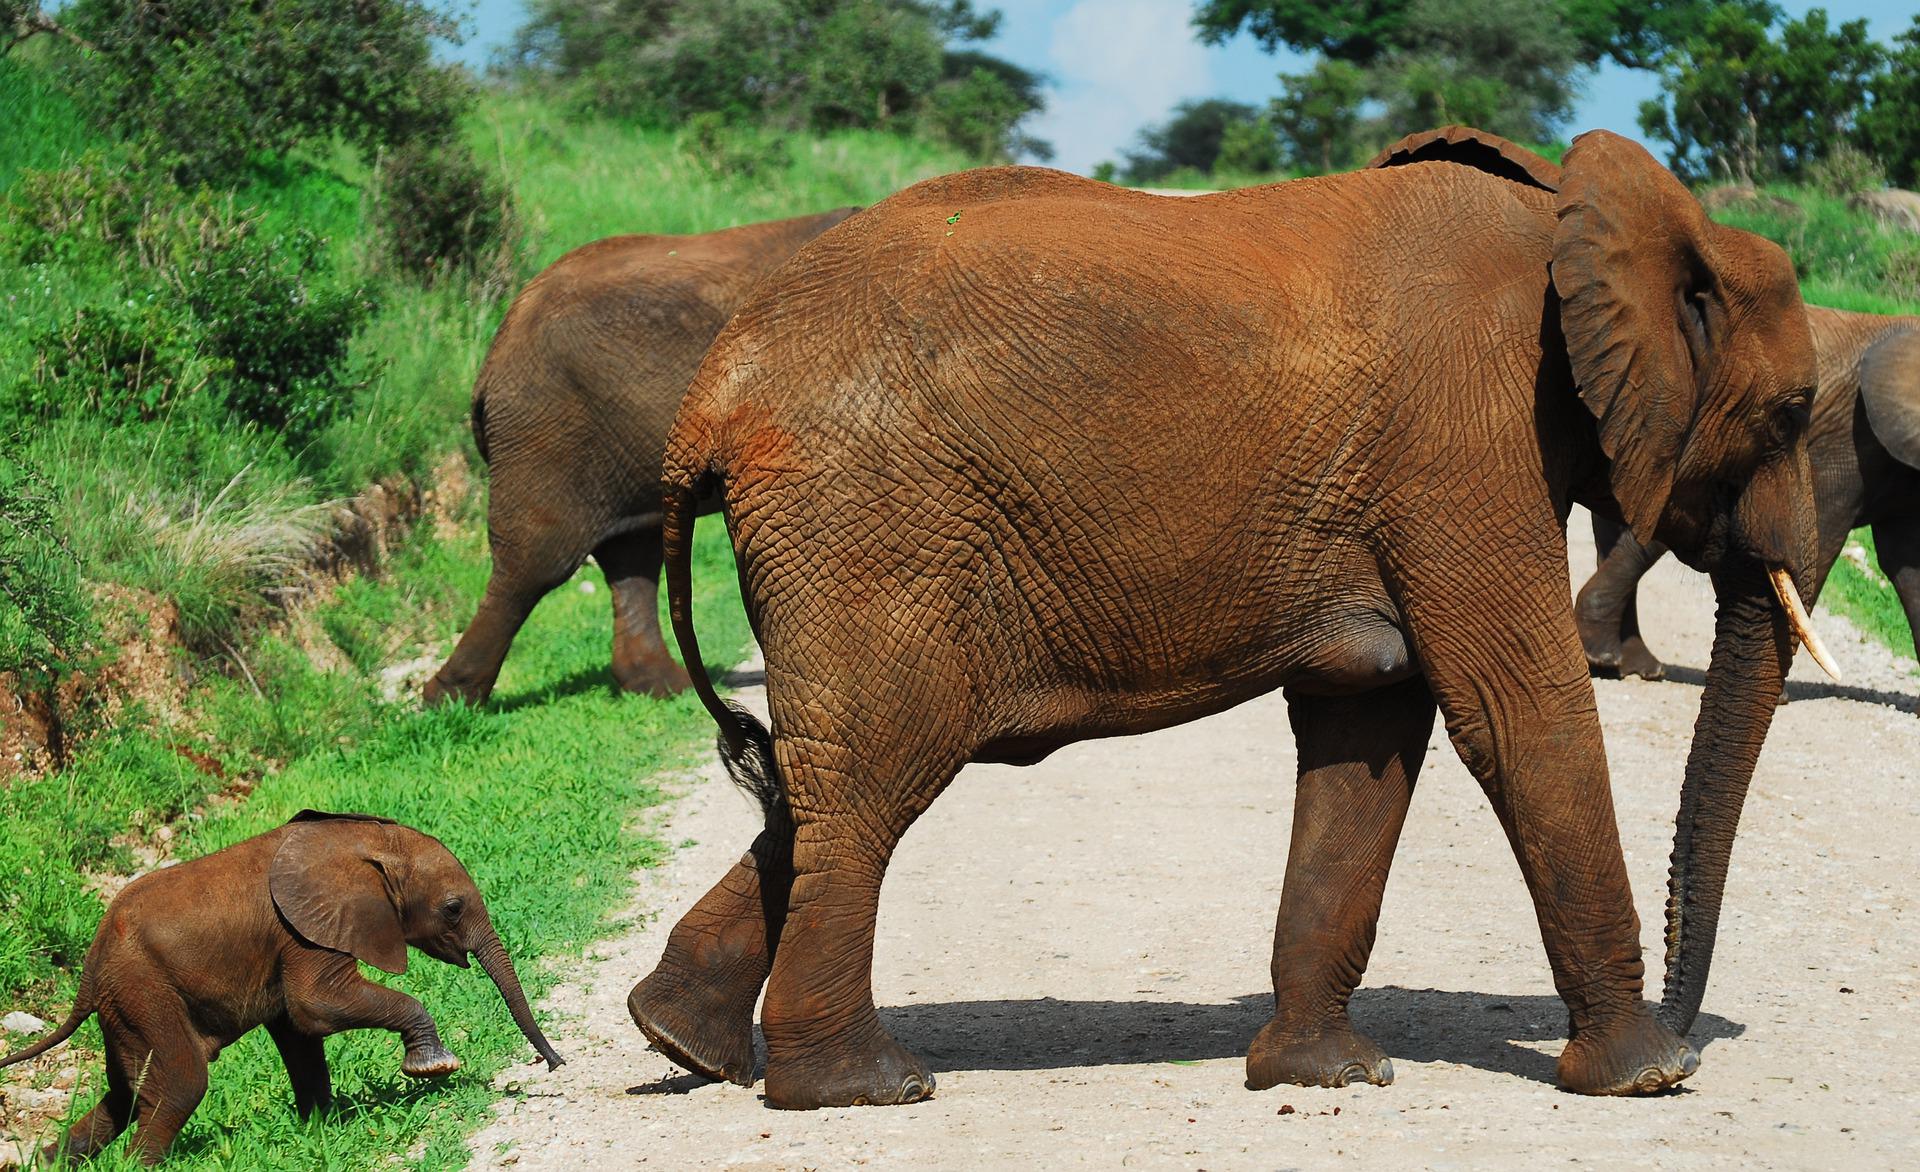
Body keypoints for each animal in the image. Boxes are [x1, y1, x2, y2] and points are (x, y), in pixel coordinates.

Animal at [0, 811, 561, 1164]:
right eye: (452, 908)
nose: (555, 1064)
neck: (365, 842)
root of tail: (89, 968)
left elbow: (299, 1030)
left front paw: (322, 1128)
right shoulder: (304, 930)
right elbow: (316, 1007)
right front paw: (433, 1067)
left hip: (126, 1004)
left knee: (125, 1095)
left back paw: (43, 1163)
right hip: (144, 990)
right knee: (179, 1084)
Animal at [423, 207, 860, 707]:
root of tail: (499, 345)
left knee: (632, 556)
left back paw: (665, 685)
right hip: (550, 428)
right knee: (534, 563)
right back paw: (448, 701)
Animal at [624, 126, 1825, 1111]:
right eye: (1793, 412)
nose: (1693, 1023)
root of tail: (712, 389)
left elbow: (1366, 730)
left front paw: (1323, 1075)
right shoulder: (1470, 433)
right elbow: (1516, 709)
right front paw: (1649, 1076)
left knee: (829, 782)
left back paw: (681, 1039)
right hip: (872, 525)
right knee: (878, 770)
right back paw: (862, 1087)